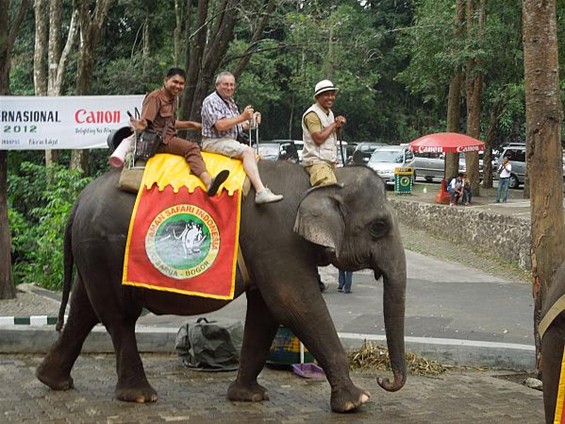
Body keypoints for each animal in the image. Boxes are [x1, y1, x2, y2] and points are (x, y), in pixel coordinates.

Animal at [35, 157, 406, 412]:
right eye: (379, 226)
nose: (384, 380)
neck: (323, 177)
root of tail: (76, 203)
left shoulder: (268, 248)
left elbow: (266, 313)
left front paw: (249, 397)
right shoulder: (277, 240)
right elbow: (293, 303)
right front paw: (357, 402)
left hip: (94, 253)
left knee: (84, 309)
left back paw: (52, 381)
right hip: (104, 249)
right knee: (118, 317)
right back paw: (140, 396)